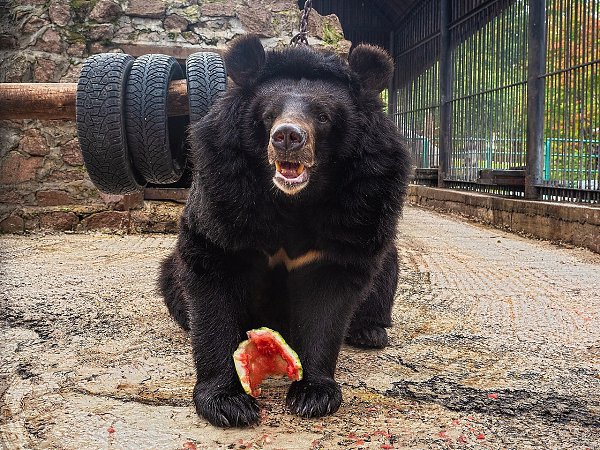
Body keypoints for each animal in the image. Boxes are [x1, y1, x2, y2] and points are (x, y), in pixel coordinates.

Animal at [159, 34, 412, 426]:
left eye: (322, 116)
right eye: (268, 115)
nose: (288, 136)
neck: (295, 200)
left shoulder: (363, 201)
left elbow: (329, 298)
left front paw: (314, 394)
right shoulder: (225, 190)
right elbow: (213, 268)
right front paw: (227, 402)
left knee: (385, 272)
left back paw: (370, 331)